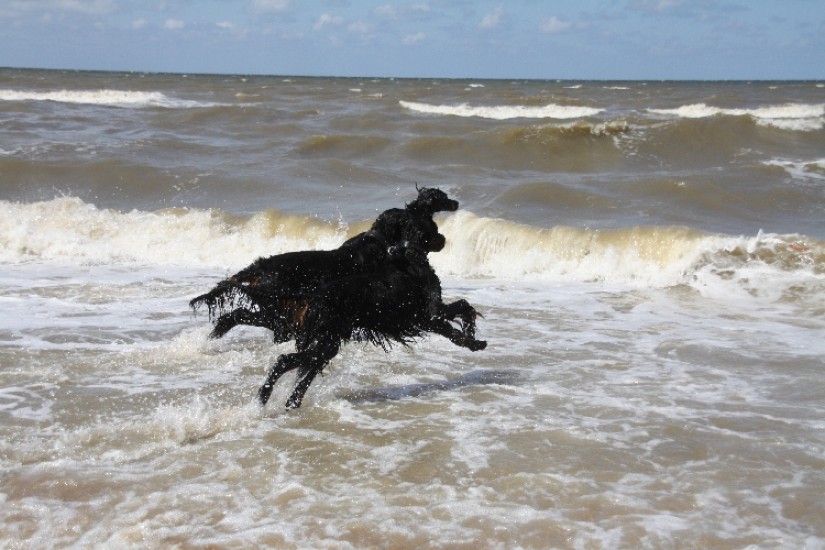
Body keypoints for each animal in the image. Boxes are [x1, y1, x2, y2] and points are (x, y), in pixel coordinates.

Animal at [190, 187, 459, 343]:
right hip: (279, 311)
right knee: (251, 319)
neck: (376, 240)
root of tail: (258, 268)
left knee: (237, 315)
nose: (439, 236)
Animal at [256, 241, 487, 410]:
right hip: (326, 342)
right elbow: (459, 317)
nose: (443, 239)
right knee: (284, 360)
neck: (407, 258)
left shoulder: (429, 317)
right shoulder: (430, 315)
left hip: (326, 344)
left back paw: (291, 402)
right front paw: (474, 341)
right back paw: (264, 396)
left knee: (304, 372)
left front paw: (472, 334)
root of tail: (313, 300)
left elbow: (461, 313)